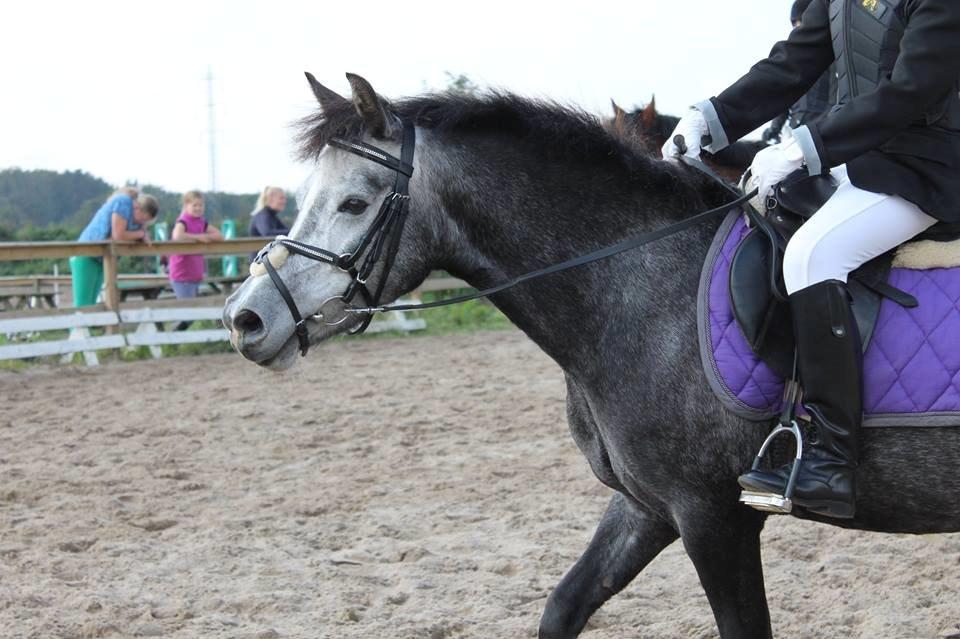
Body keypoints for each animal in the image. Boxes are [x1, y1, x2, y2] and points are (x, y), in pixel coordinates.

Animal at [223, 75, 960, 639]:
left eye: (354, 202)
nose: (245, 317)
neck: (640, 285)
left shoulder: (714, 517)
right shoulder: (648, 507)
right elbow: (563, 606)